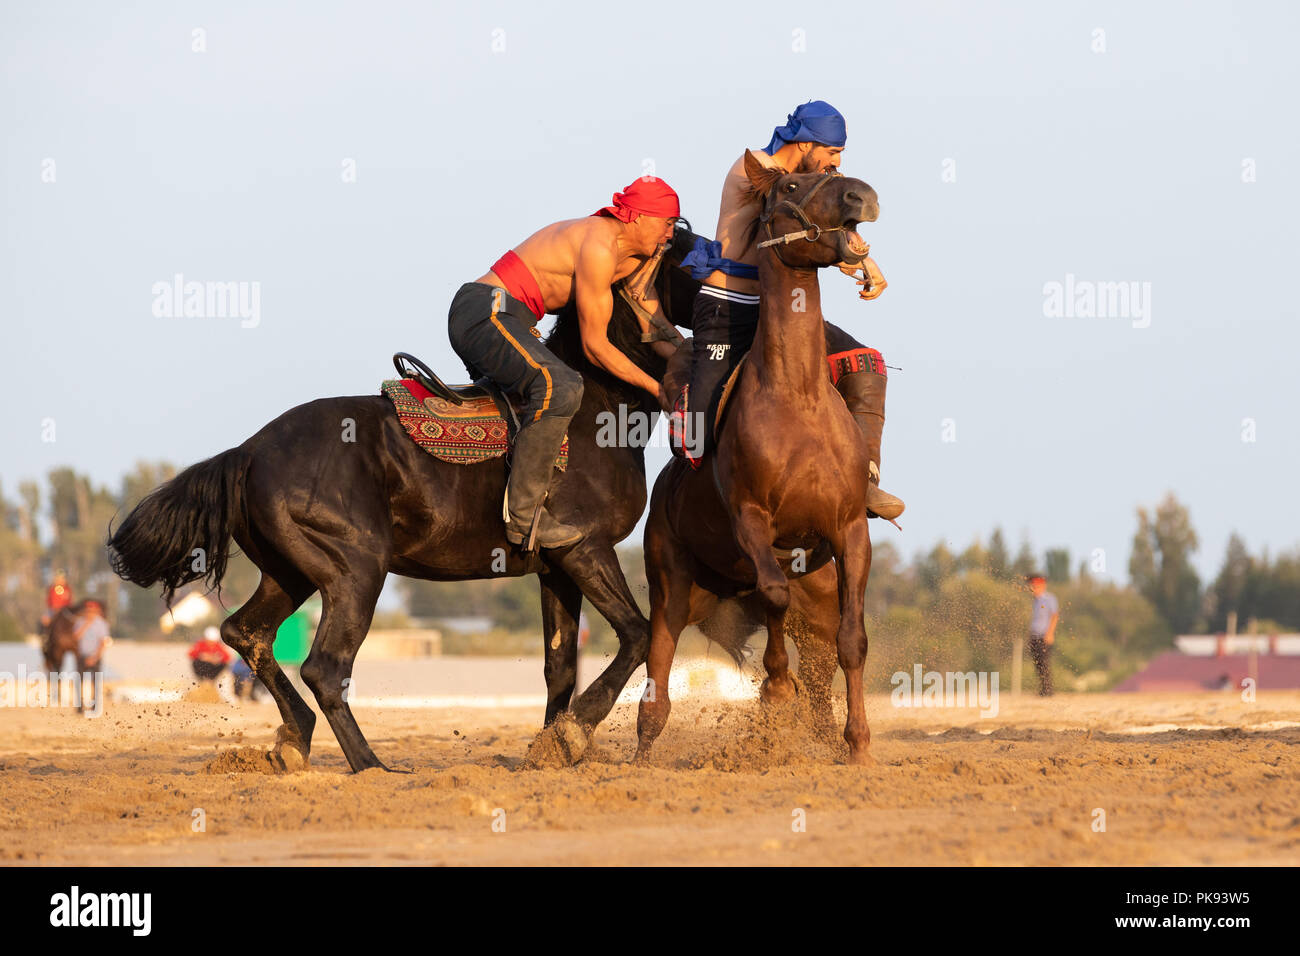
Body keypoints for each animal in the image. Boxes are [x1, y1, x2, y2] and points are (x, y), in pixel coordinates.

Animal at [107, 227, 707, 775]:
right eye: (691, 257)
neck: (597, 412)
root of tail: (248, 451)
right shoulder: (586, 550)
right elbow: (636, 634)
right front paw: (575, 734)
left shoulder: (556, 568)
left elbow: (559, 666)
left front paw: (551, 746)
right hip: (356, 570)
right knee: (324, 667)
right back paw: (369, 763)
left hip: (291, 573)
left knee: (246, 633)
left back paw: (294, 739)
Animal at [634, 158, 878, 770]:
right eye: (791, 185)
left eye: (835, 170)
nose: (862, 196)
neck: (799, 398)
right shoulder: (752, 520)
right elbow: (772, 596)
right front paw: (774, 690)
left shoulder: (850, 530)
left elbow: (853, 641)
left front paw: (859, 744)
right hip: (673, 589)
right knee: (657, 671)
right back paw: (642, 754)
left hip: (812, 602)